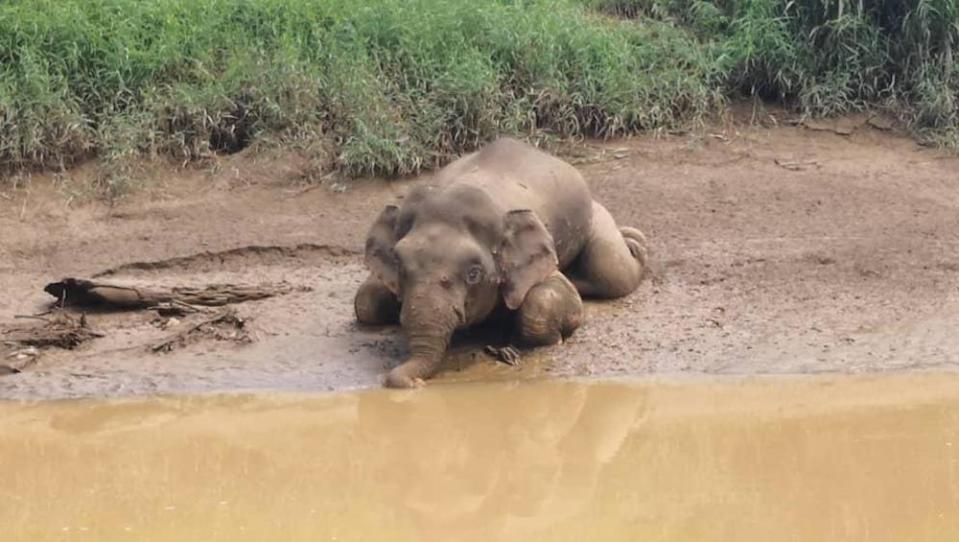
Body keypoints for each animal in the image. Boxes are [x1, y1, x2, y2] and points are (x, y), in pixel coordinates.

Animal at [356, 138, 648, 388]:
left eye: (474, 274)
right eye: (399, 265)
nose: (415, 383)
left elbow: (546, 299)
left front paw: (554, 340)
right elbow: (365, 300)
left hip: (593, 217)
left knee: (612, 270)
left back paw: (635, 244)